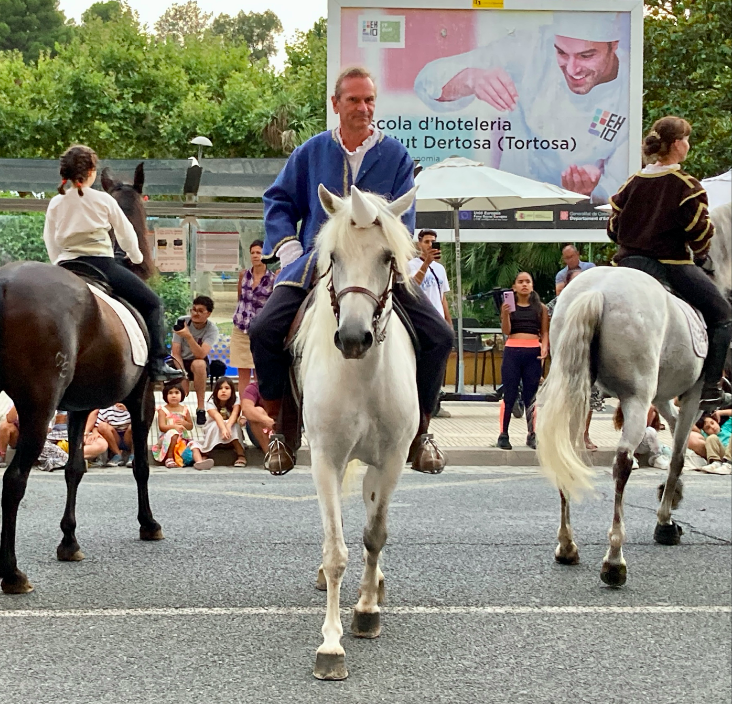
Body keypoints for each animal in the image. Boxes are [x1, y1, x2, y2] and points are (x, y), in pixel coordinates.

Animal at [0, 164, 163, 592]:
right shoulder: (142, 398)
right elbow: (141, 465)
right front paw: (148, 524)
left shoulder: (77, 406)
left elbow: (74, 469)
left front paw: (69, 541)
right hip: (38, 408)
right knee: (14, 480)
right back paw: (12, 572)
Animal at [292, 184, 418, 680]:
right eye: (334, 257)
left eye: (387, 256)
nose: (352, 338)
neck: (362, 377)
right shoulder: (326, 459)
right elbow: (336, 551)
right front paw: (330, 645)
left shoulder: (393, 460)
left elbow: (375, 535)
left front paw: (365, 610)